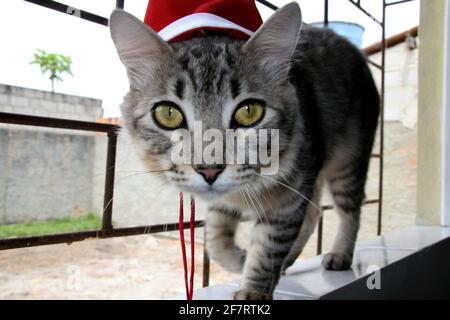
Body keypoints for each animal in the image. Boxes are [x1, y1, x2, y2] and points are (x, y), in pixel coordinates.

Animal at [110, 2, 380, 300]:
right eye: (168, 114)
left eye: (249, 112)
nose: (209, 170)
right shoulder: (228, 202)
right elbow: (216, 240)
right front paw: (240, 259)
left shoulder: (290, 199)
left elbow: (267, 250)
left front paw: (253, 291)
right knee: (314, 215)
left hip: (348, 162)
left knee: (349, 211)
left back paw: (340, 254)